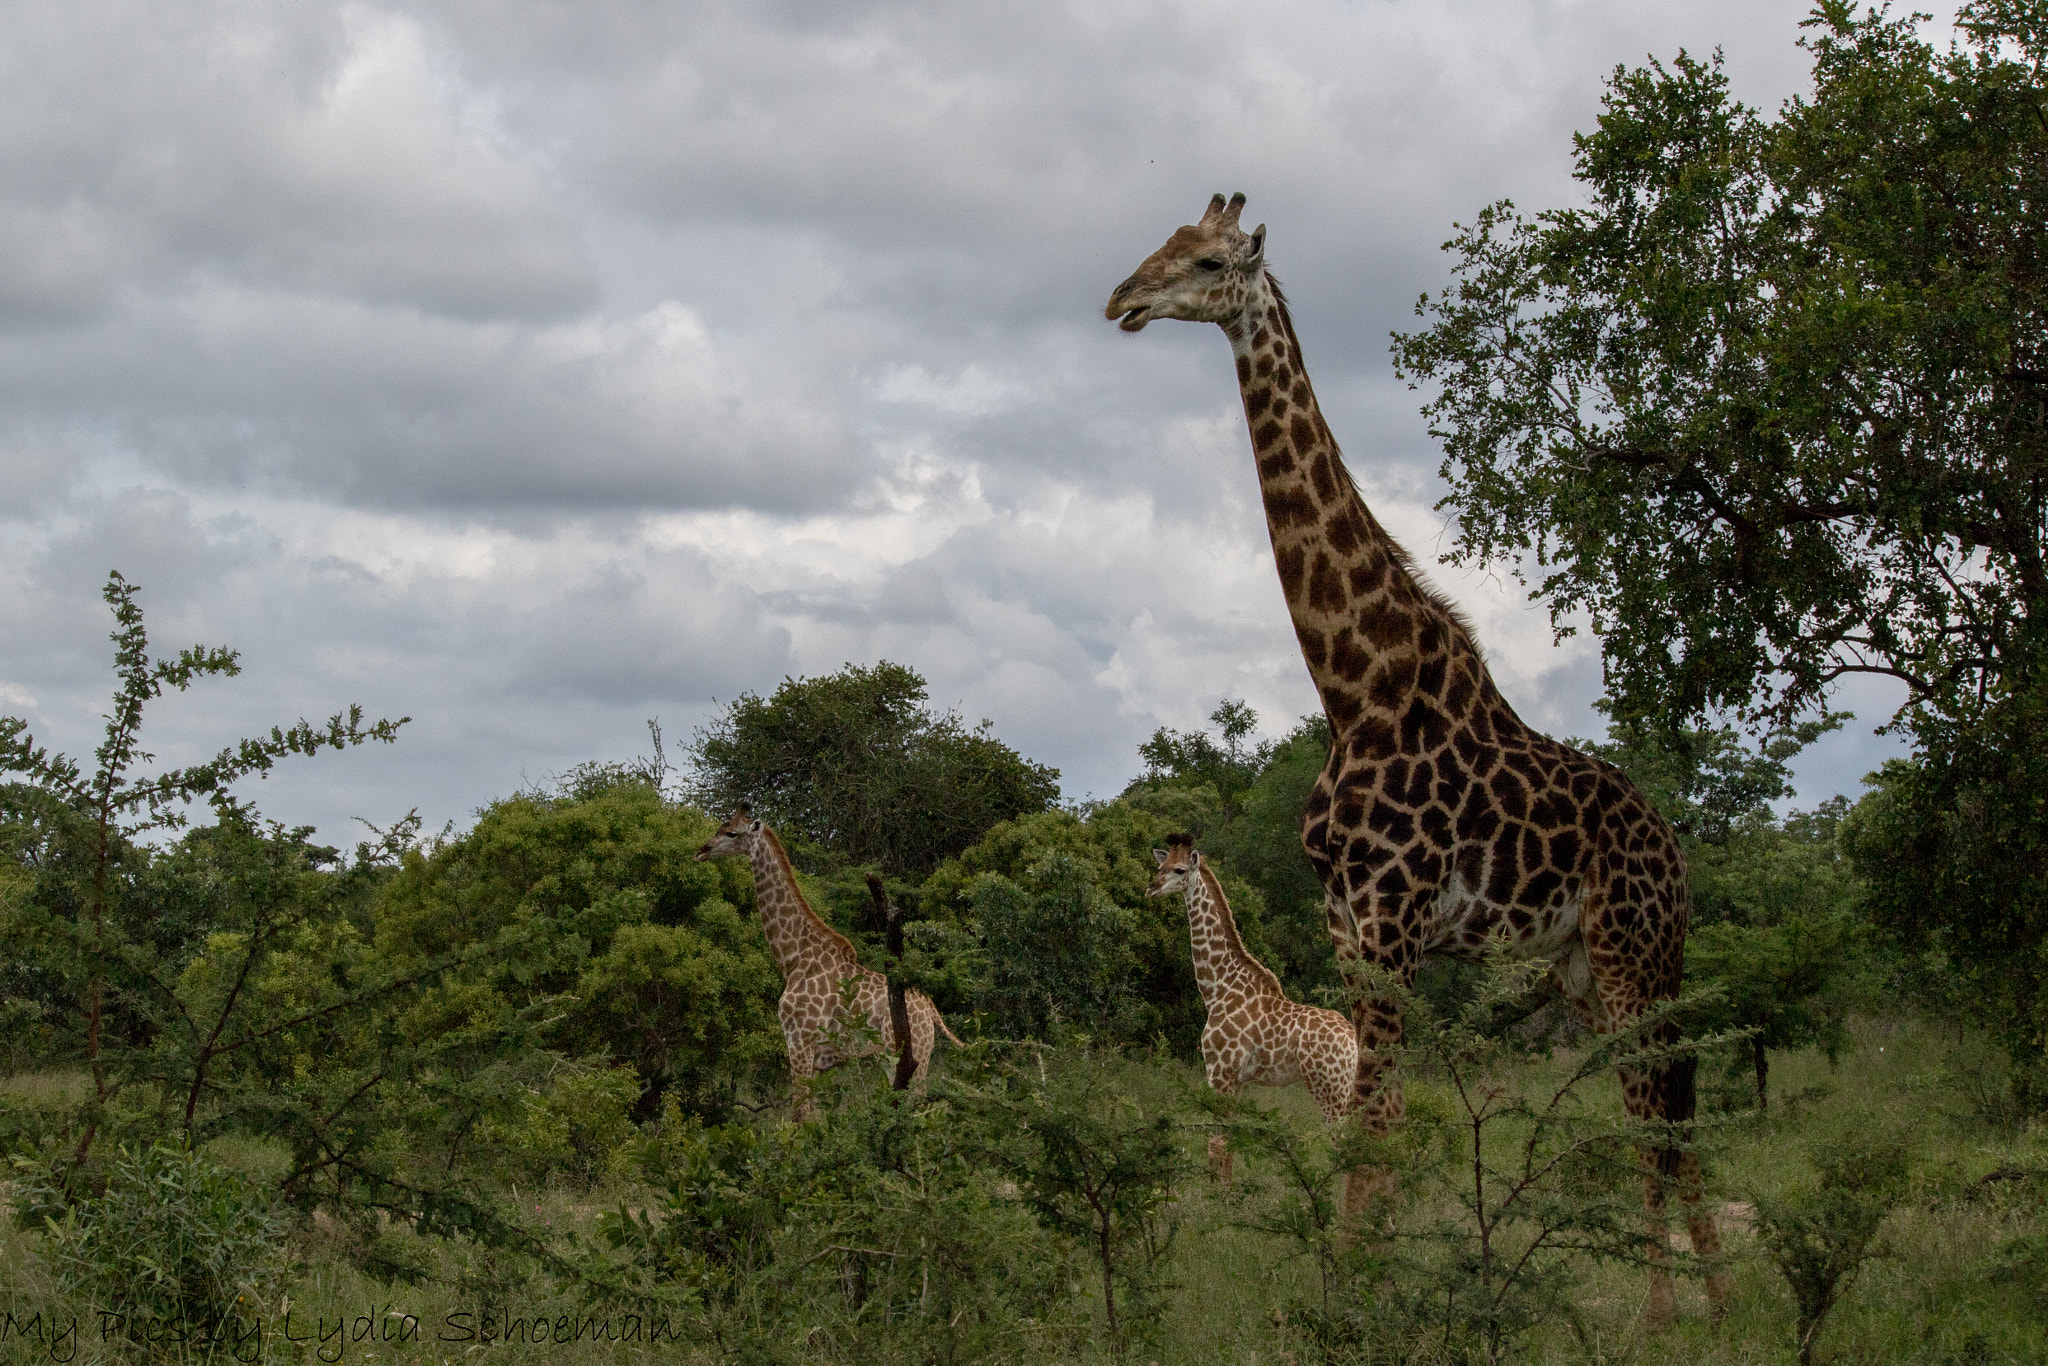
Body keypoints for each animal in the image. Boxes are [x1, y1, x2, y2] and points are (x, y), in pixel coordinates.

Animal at [695, 805, 963, 1120]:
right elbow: (811, 1115)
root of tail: (931, 1010)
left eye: (731, 833)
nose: (701, 851)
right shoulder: (816, 1058)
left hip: (903, 1056)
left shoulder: (799, 1041)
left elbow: (799, 1116)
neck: (793, 958)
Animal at [1150, 833, 1357, 1185]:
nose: (1151, 887)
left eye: (1179, 870)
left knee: (1344, 1144)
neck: (1217, 988)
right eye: (1160, 866)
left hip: (1330, 1088)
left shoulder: (1220, 1072)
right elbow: (1229, 1143)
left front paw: (1218, 1194)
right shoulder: (1238, 1080)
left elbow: (1217, 1143)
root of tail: (1355, 1042)